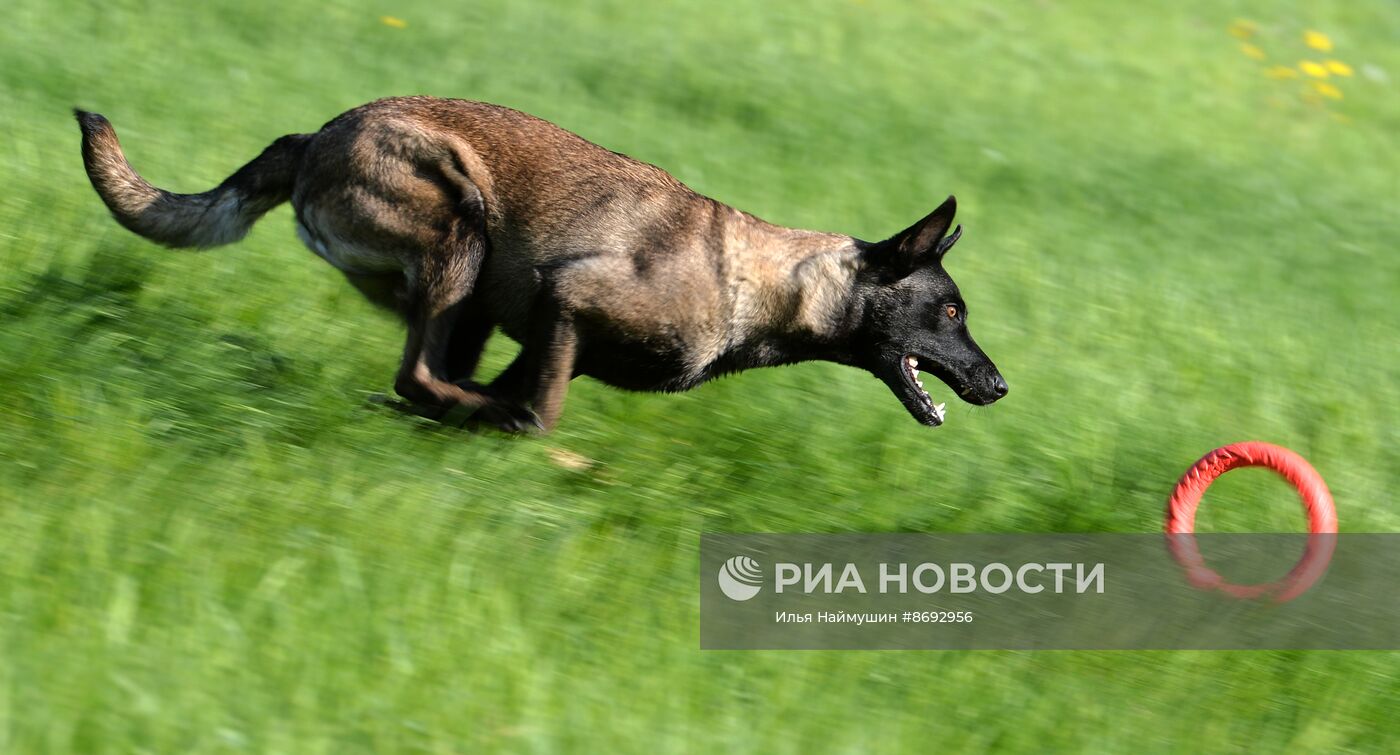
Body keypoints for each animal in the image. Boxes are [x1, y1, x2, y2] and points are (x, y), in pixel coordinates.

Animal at [76, 97, 1002, 434]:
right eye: (953, 312)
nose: (997, 385)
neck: (764, 282)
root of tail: (314, 138)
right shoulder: (568, 299)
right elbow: (544, 410)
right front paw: (511, 427)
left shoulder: (549, 338)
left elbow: (529, 389)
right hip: (462, 226)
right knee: (419, 373)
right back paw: (457, 407)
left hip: (469, 294)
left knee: (429, 372)